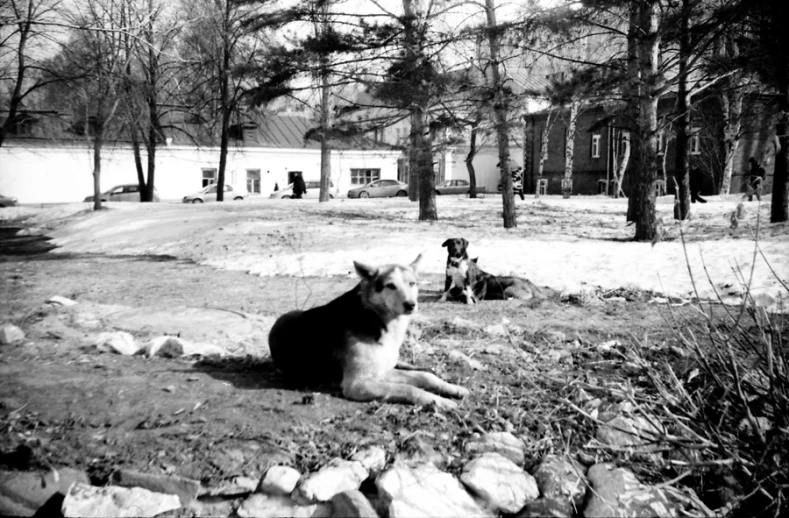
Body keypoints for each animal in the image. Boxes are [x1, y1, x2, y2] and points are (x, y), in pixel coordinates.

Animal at [270, 255, 468, 410]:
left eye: (412, 284)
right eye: (390, 286)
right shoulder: (357, 384)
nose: (411, 305)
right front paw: (437, 401)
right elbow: (408, 388)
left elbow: (425, 376)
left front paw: (451, 388)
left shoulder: (381, 372)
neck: (376, 318)